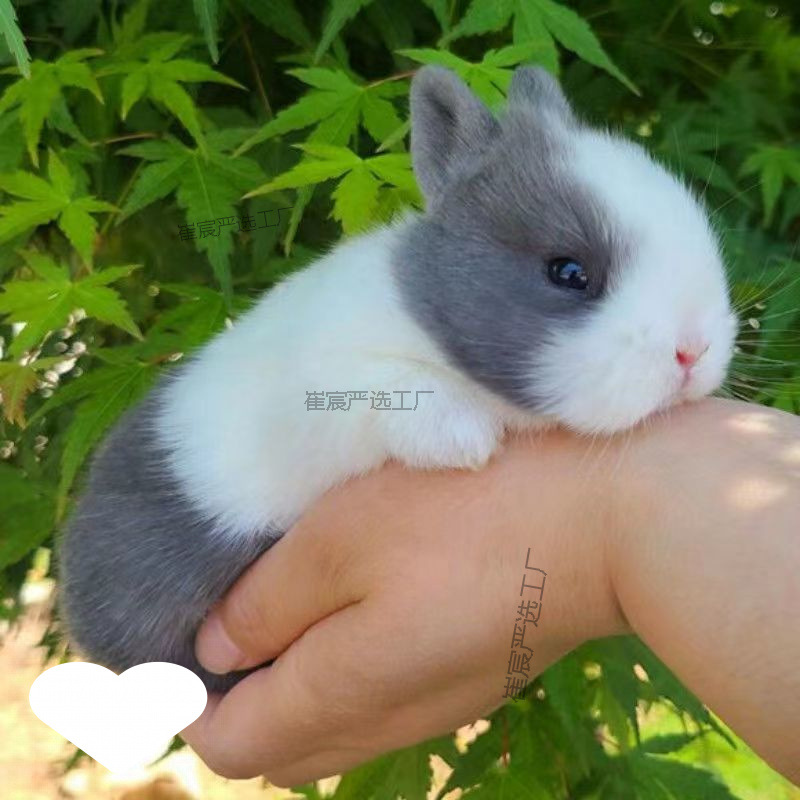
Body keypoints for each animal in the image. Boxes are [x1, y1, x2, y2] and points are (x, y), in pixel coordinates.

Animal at [57, 65, 738, 692]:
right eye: (568, 272)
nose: (693, 351)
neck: (424, 320)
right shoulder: (328, 390)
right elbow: (385, 390)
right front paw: (464, 441)